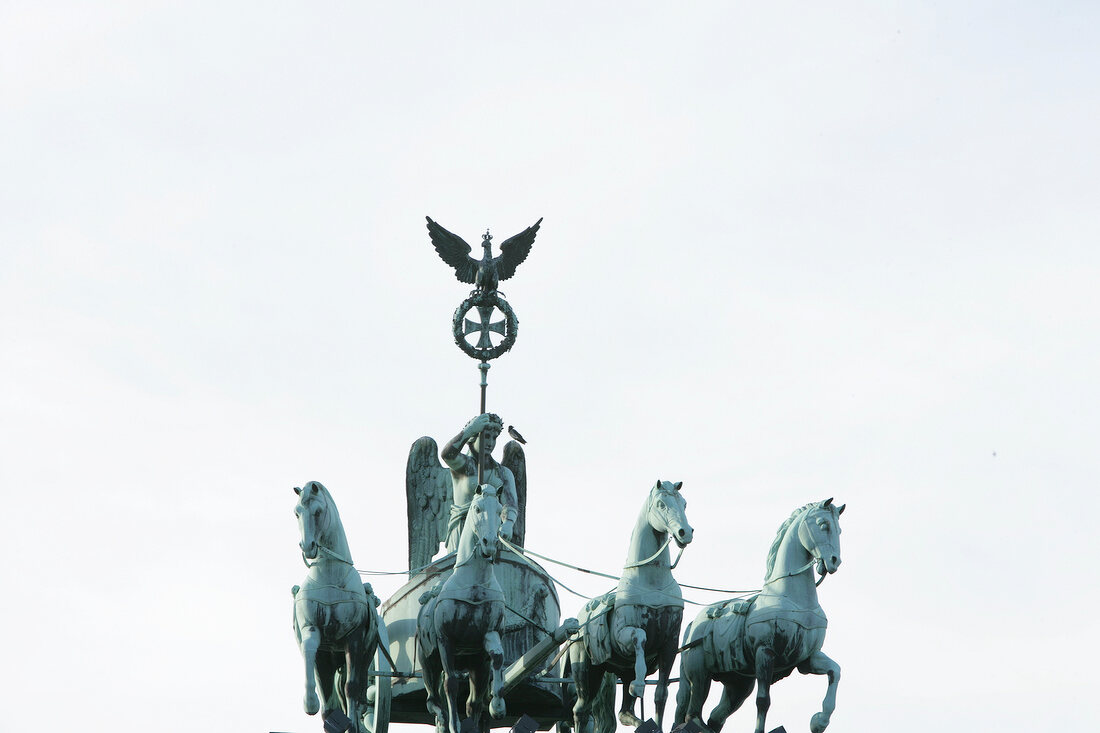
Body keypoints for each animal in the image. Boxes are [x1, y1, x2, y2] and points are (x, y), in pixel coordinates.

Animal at [290, 479, 380, 730]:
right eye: (297, 512)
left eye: (318, 511)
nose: (307, 546)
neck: (330, 573)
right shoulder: (313, 630)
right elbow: (309, 648)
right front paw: (309, 702)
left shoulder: (354, 637)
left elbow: (352, 687)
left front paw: (353, 723)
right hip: (327, 661)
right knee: (328, 699)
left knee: (356, 690)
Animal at [418, 482, 508, 730]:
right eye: (477, 508)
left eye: (500, 511)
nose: (490, 544)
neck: (474, 584)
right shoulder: (446, 641)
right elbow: (451, 684)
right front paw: (453, 725)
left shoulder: (489, 634)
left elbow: (498, 657)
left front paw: (498, 705)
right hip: (428, 662)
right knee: (432, 699)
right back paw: (442, 717)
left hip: (477, 665)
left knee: (473, 702)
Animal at [572, 479, 690, 730]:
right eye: (661, 504)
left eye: (684, 503)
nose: (685, 532)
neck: (653, 583)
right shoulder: (624, 636)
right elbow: (640, 637)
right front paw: (639, 684)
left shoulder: (670, 644)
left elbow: (661, 695)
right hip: (587, 671)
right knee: (580, 710)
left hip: (618, 672)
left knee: (625, 712)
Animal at [673, 497, 844, 730]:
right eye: (823, 524)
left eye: (839, 530)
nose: (834, 561)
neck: (790, 597)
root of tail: (692, 625)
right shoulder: (765, 652)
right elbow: (763, 700)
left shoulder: (807, 659)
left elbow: (835, 671)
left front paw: (819, 721)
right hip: (699, 674)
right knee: (693, 712)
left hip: (738, 685)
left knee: (715, 717)